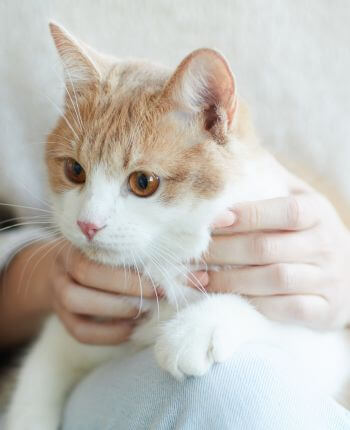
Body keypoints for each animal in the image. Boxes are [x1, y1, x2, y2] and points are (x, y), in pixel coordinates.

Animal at [4, 22, 350, 430]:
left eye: (143, 183)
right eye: (74, 170)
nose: (87, 224)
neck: (166, 262)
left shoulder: (330, 351)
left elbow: (280, 324)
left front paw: (199, 327)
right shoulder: (70, 336)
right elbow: (36, 381)